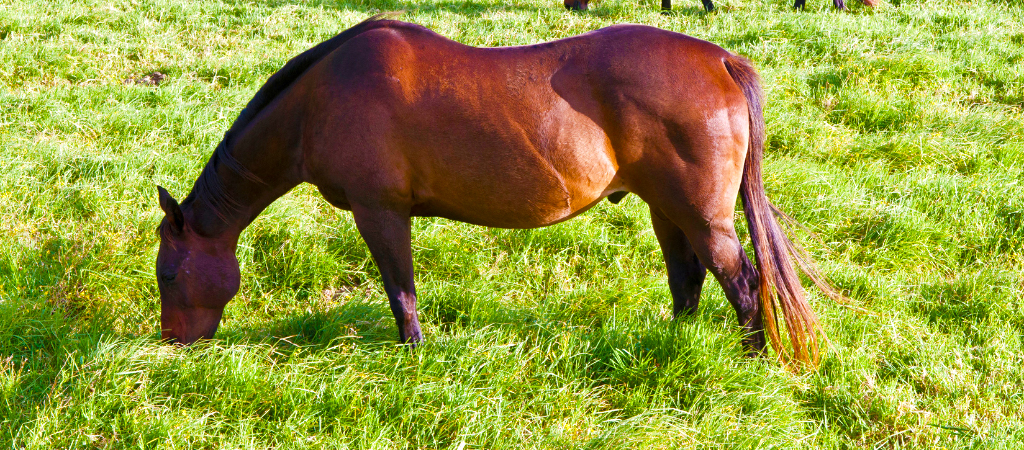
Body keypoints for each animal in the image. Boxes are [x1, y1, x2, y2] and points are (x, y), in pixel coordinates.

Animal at [153, 14, 839, 366]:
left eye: (168, 273)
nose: (172, 340)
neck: (320, 100)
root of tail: (719, 59)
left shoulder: (380, 211)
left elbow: (400, 289)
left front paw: (413, 355)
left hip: (701, 214)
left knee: (743, 282)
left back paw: (751, 360)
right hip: (668, 208)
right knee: (688, 279)